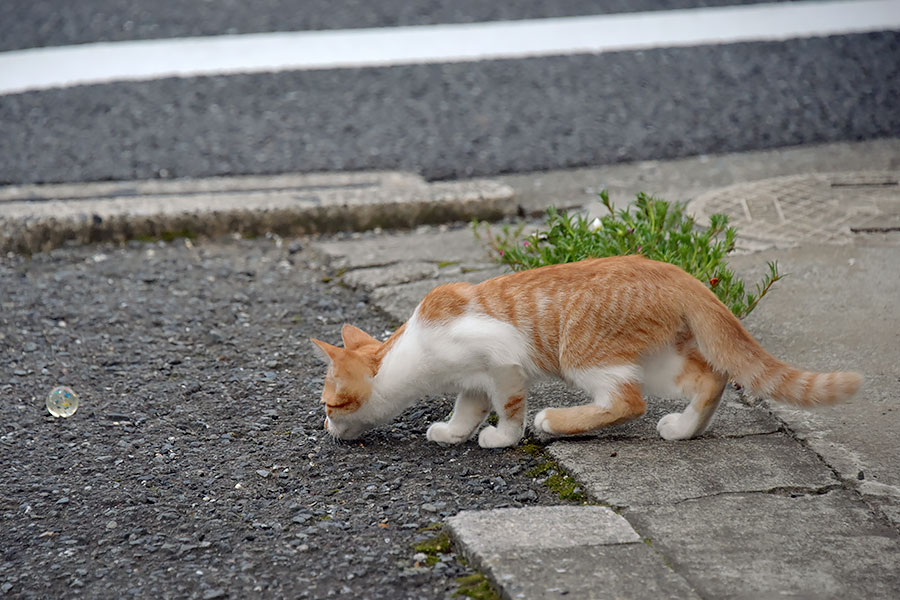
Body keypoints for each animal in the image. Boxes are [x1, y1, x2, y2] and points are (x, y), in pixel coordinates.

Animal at [312, 255, 864, 448]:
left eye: (329, 405)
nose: (324, 426)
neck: (415, 349)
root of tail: (674, 269)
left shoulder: (502, 362)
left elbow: (508, 407)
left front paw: (503, 437)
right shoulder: (473, 380)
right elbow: (467, 407)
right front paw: (453, 431)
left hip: (582, 353)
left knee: (628, 401)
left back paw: (557, 422)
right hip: (655, 359)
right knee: (710, 378)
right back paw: (685, 429)